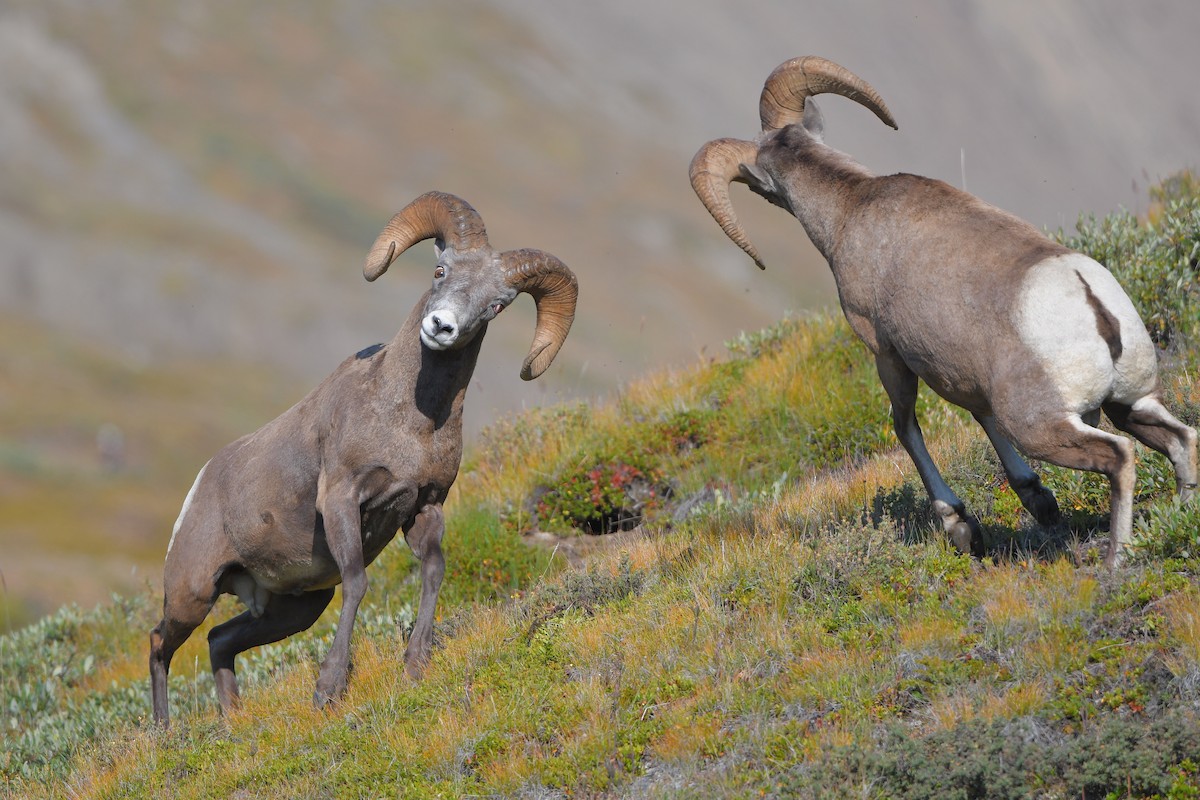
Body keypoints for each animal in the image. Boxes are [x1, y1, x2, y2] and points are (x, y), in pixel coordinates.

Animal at [149, 191, 578, 726]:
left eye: (495, 305)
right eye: (440, 270)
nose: (441, 326)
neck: (409, 423)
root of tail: (200, 485)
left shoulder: (425, 507)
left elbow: (433, 571)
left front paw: (416, 663)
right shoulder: (342, 501)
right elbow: (358, 582)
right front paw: (329, 689)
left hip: (294, 607)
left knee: (219, 641)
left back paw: (233, 719)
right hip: (193, 592)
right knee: (160, 644)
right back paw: (162, 732)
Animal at [689, 55, 1196, 567]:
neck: (851, 210)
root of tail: (1091, 301)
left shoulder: (887, 354)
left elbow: (906, 427)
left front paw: (962, 528)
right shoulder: (961, 373)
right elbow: (980, 415)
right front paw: (1037, 502)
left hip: (1044, 428)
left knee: (1120, 457)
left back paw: (1115, 558)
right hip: (1130, 403)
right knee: (1180, 439)